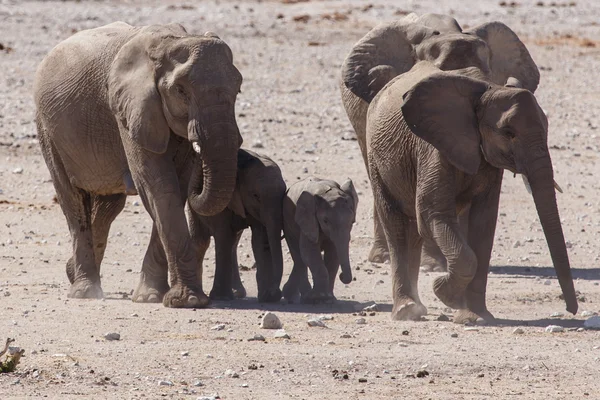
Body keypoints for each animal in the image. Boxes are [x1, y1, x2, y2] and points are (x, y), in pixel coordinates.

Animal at [32, 21, 243, 308]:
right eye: (181, 91)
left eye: (238, 89)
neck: (172, 42)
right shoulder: (130, 109)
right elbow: (158, 187)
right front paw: (187, 301)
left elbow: (175, 189)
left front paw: (151, 296)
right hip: (48, 130)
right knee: (73, 201)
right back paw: (85, 291)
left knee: (108, 207)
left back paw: (72, 273)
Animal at [188, 148, 288, 302]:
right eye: (256, 196)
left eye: (284, 193)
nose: (275, 293)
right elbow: (223, 235)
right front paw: (221, 297)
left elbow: (259, 239)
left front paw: (266, 297)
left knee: (233, 243)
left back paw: (237, 293)